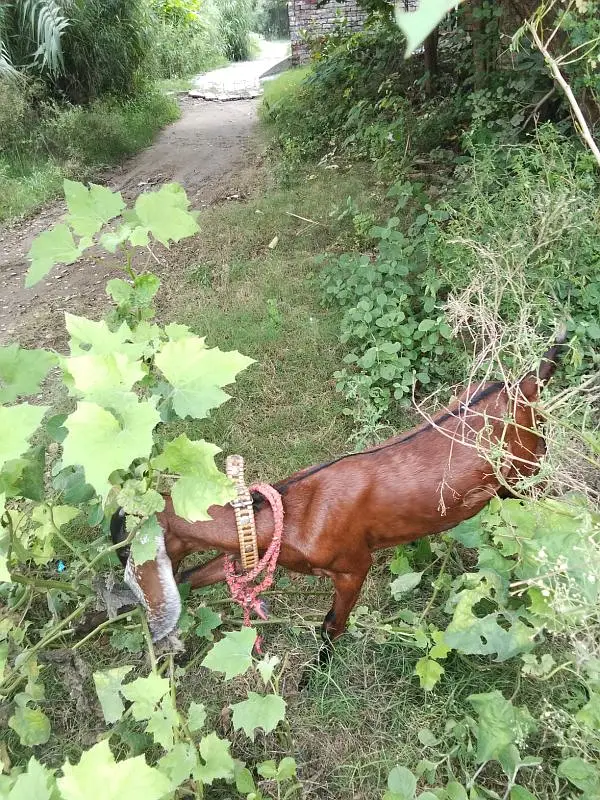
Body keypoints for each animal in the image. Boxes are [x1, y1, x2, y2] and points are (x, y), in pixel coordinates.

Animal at [110, 333, 566, 654]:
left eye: (126, 546)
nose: (137, 606)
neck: (291, 512)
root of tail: (526, 385)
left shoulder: (353, 567)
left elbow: (332, 625)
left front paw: (315, 675)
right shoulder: (248, 554)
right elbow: (193, 576)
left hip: (527, 477)